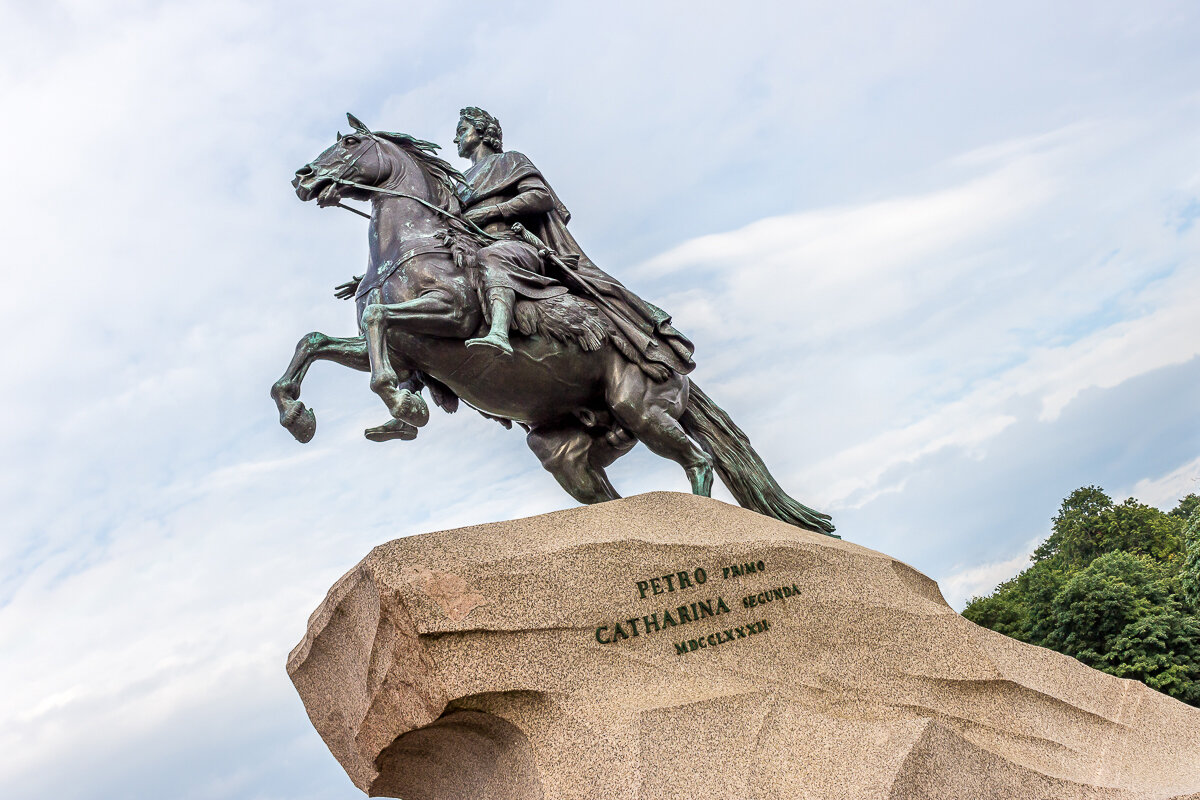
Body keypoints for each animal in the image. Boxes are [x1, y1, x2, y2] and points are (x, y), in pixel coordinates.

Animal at [272, 112, 835, 534]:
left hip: (643, 412)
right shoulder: (401, 348)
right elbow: (315, 341)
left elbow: (376, 320)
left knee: (699, 462)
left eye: (348, 142)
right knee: (607, 494)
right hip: (566, 450)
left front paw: (404, 405)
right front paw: (298, 416)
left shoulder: (450, 315)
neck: (411, 240)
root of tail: (681, 375)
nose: (303, 178)